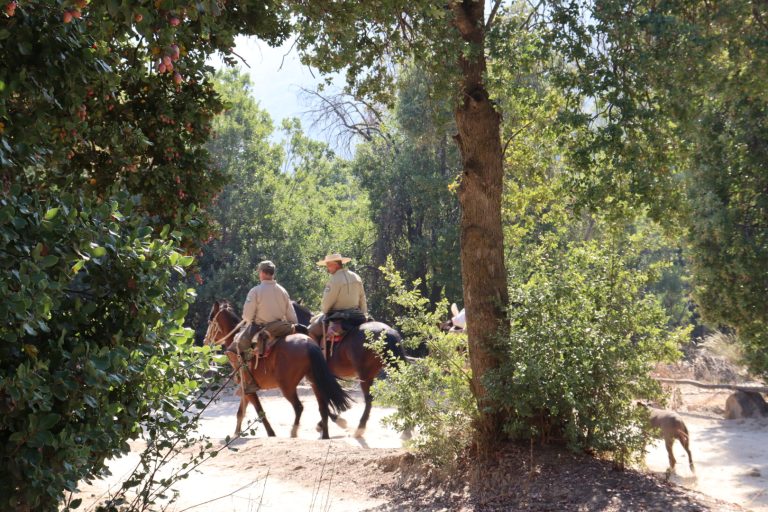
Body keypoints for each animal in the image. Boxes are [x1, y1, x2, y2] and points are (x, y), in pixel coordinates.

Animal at [204, 300, 352, 440]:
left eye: (210, 319)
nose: (206, 341)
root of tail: (308, 343)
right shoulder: (245, 390)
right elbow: (241, 412)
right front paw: (236, 434)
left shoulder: (248, 388)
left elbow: (258, 411)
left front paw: (271, 433)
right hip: (315, 381)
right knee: (323, 406)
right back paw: (325, 434)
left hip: (287, 386)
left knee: (299, 407)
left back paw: (294, 432)